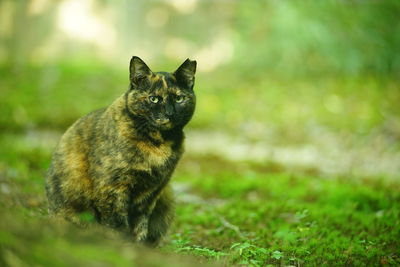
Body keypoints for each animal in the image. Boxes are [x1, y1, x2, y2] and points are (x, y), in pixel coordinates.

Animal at [46, 56, 196, 247]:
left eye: (179, 98)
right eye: (154, 99)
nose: (169, 114)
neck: (158, 143)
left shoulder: (152, 192)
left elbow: (140, 225)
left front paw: (138, 246)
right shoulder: (112, 187)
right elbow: (117, 224)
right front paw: (122, 245)